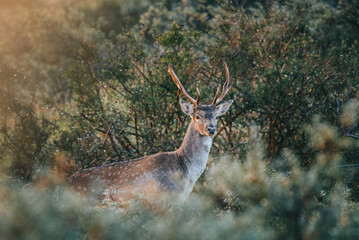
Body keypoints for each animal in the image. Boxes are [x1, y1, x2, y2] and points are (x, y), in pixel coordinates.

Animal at [68, 62, 235, 204]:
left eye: (216, 116)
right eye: (197, 116)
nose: (211, 129)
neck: (186, 175)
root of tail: (66, 183)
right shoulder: (161, 197)